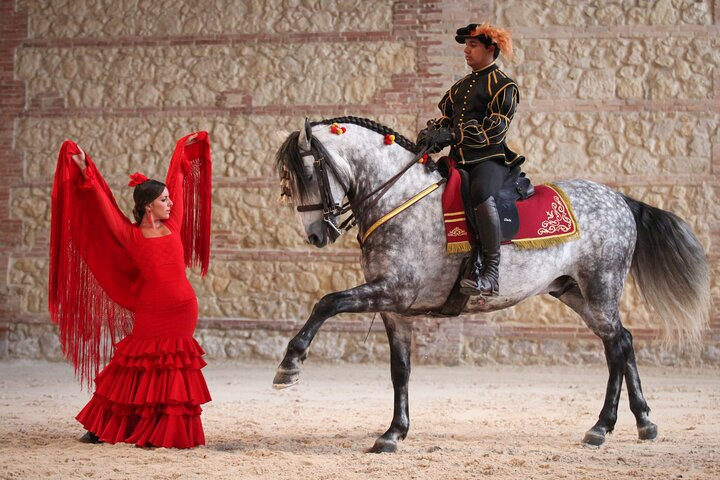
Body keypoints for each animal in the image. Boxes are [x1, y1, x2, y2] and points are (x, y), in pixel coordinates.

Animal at [272, 116, 712, 454]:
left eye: (307, 173)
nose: (315, 235)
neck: (400, 197)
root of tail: (620, 199)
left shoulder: (392, 290)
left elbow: (327, 302)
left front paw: (290, 364)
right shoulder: (394, 308)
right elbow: (400, 370)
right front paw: (393, 433)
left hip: (601, 288)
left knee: (617, 345)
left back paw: (602, 427)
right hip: (576, 293)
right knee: (622, 341)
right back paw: (643, 422)